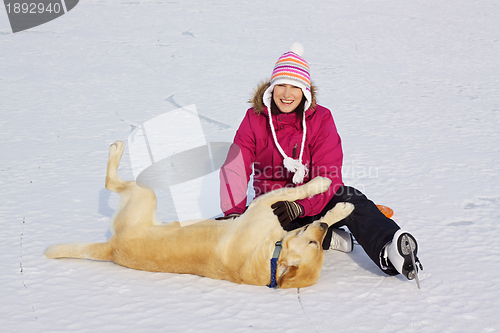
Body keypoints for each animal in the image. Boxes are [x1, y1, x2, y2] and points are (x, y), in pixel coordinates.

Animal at [45, 140, 354, 288]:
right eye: (314, 244)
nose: (322, 231)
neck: (272, 257)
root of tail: (111, 248)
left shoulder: (266, 209)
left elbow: (301, 199)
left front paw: (334, 202)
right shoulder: (264, 206)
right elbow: (299, 195)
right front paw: (328, 190)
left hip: (144, 196)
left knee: (112, 183)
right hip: (146, 195)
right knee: (111, 182)